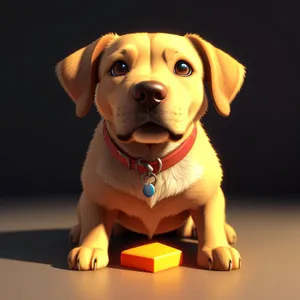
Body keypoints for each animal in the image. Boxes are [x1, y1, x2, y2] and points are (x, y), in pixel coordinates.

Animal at [56, 32, 246, 272]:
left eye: (183, 67)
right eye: (119, 67)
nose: (149, 92)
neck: (150, 160)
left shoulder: (210, 195)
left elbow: (210, 218)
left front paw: (216, 247)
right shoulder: (93, 196)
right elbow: (94, 221)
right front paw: (90, 246)